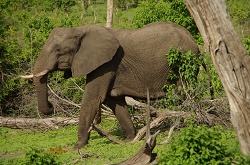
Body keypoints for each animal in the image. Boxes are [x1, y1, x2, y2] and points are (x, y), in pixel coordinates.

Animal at [22, 21, 200, 150]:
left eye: (59, 50)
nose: (51, 106)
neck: (81, 30)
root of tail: (194, 40)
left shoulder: (106, 64)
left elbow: (92, 98)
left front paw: (77, 147)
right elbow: (112, 100)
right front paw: (130, 139)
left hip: (183, 63)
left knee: (184, 94)